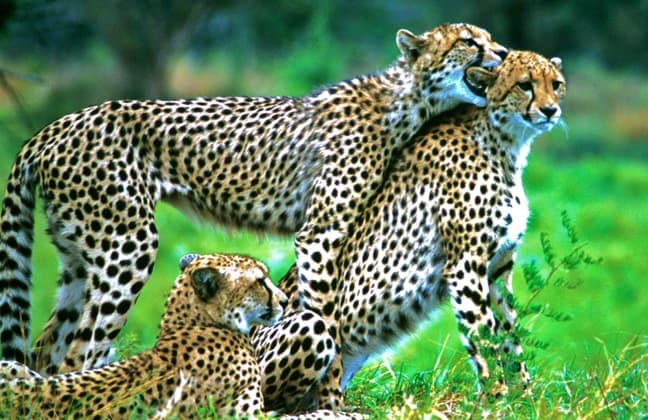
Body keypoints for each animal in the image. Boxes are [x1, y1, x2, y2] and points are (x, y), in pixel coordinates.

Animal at [0, 23, 506, 378]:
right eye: (469, 41)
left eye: (489, 39)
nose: (502, 53)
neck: (406, 102)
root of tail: (55, 125)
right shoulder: (318, 234)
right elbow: (322, 313)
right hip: (126, 245)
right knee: (80, 350)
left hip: (79, 255)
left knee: (49, 347)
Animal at [253, 50, 568, 410]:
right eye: (524, 85)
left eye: (556, 84)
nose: (550, 110)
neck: (506, 141)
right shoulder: (465, 266)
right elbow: (483, 336)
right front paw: (496, 399)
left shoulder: (497, 267)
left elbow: (509, 335)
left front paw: (524, 398)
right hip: (305, 328)